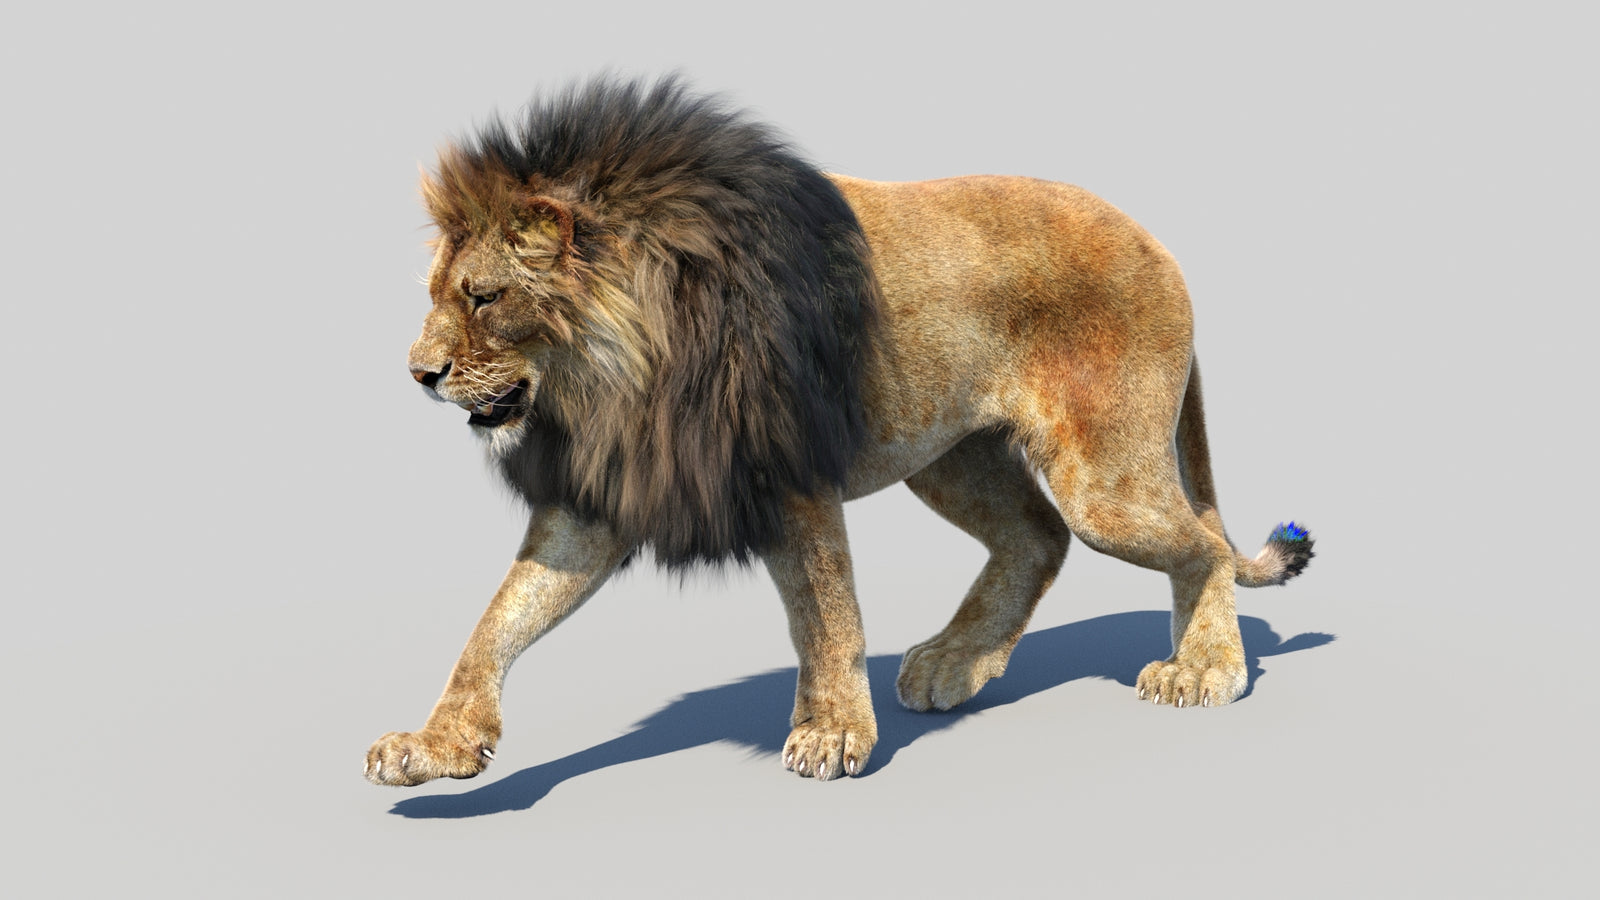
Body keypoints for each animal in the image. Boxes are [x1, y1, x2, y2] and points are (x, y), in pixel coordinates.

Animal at [364, 76, 1314, 786]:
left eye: (484, 297)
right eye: (438, 294)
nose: (417, 373)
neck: (613, 376)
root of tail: (1160, 245)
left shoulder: (785, 473)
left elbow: (824, 615)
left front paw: (831, 734)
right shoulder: (607, 489)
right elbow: (499, 618)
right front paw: (435, 746)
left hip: (1103, 477)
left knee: (1198, 545)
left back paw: (1204, 670)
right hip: (949, 454)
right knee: (1037, 537)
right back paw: (954, 663)